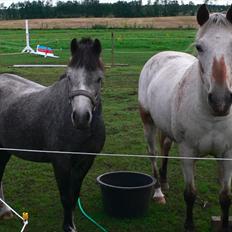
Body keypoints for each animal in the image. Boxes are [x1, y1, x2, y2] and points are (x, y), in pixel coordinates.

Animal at [0, 37, 105, 231]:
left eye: (99, 79)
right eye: (69, 77)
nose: (80, 117)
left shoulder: (85, 161)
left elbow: (74, 195)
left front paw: (72, 224)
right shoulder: (61, 163)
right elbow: (66, 197)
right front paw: (68, 227)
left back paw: (4, 210)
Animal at [140, 4, 232, 232]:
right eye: (199, 47)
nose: (221, 101)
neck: (212, 118)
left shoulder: (227, 154)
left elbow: (225, 197)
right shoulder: (187, 153)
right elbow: (190, 193)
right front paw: (189, 225)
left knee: (165, 147)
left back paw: (164, 181)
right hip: (148, 122)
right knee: (154, 154)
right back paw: (158, 191)